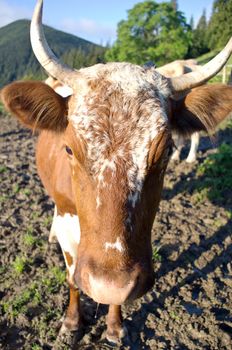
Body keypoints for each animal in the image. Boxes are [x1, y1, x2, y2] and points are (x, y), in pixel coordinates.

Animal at [1, 0, 232, 342]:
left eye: (165, 151)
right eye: (69, 148)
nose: (110, 283)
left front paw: (114, 325)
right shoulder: (69, 223)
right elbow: (71, 276)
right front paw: (72, 323)